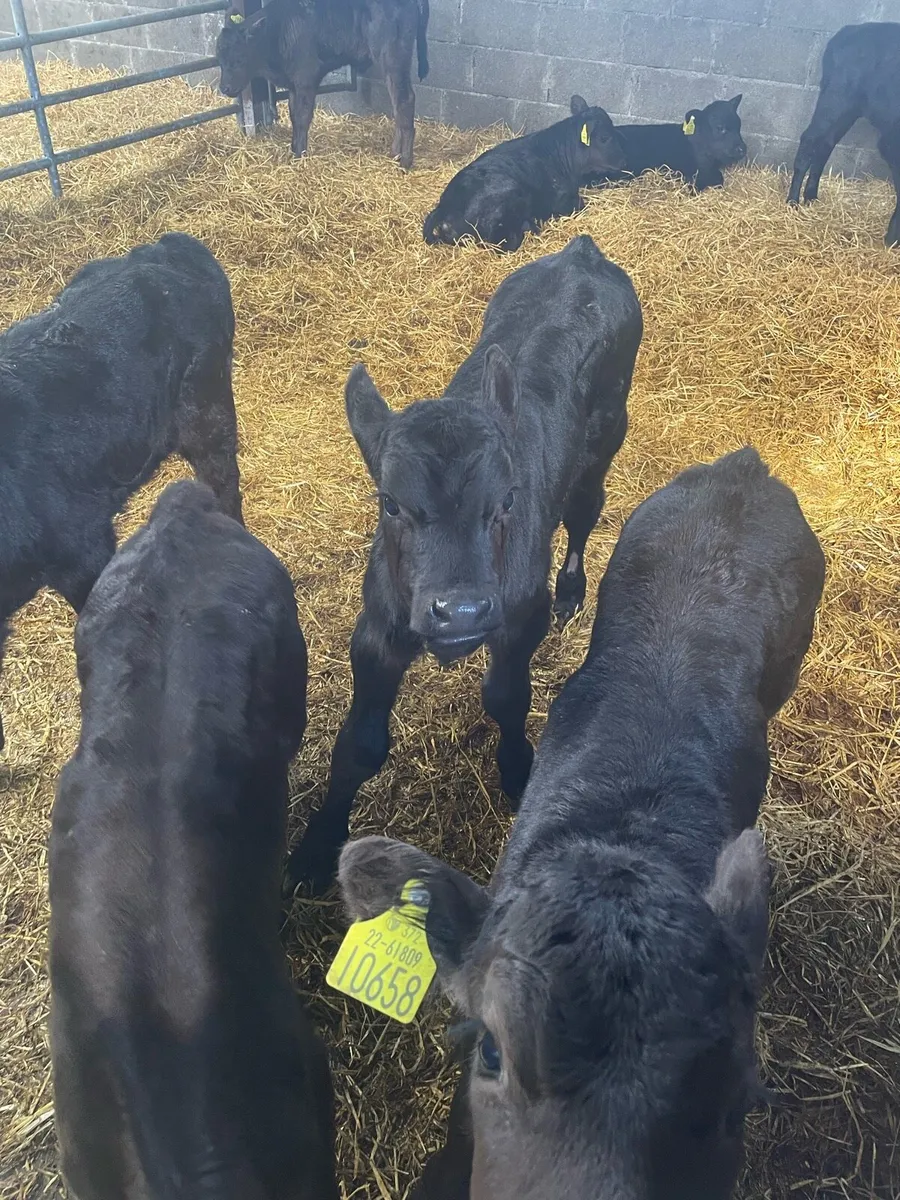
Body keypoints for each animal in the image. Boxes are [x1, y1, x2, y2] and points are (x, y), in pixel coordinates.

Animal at [216, 0, 429, 168]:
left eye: (239, 59)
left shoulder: (306, 79)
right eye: (219, 59)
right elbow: (294, 116)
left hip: (393, 59)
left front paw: (299, 155)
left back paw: (405, 162)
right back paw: (395, 154)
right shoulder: (293, 85)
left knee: (405, 100)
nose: (225, 88)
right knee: (398, 105)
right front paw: (293, 149)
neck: (279, 30)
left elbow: (302, 117)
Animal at [285, 235, 642, 895]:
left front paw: (520, 770)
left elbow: (506, 696)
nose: (462, 610)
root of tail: (580, 252)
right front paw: (315, 848)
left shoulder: (518, 618)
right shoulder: (378, 629)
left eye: (507, 500)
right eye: (390, 502)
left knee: (585, 510)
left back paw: (572, 588)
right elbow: (359, 744)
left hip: (607, 434)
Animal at [787, 23, 900, 247]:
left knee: (825, 143)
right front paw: (892, 239)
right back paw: (793, 201)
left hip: (848, 106)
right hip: (838, 97)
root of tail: (850, 29)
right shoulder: (892, 144)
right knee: (811, 139)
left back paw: (811, 196)